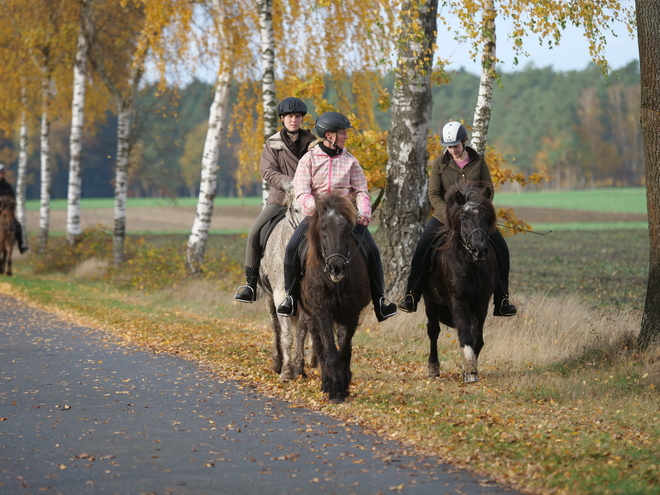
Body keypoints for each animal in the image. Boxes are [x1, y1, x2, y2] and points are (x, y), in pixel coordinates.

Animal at [298, 193, 372, 404]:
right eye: (323, 228)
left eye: (347, 230)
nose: (336, 267)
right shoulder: (322, 313)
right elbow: (330, 353)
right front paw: (335, 391)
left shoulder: (351, 314)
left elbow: (345, 351)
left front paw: (344, 387)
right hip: (310, 316)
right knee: (320, 348)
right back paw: (325, 385)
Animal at [426, 182, 498, 384]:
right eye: (464, 217)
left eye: (486, 216)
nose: (479, 250)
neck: (470, 265)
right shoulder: (458, 301)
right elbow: (465, 335)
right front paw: (470, 372)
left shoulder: (481, 302)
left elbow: (477, 339)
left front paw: (469, 368)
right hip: (430, 301)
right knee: (433, 331)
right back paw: (433, 368)